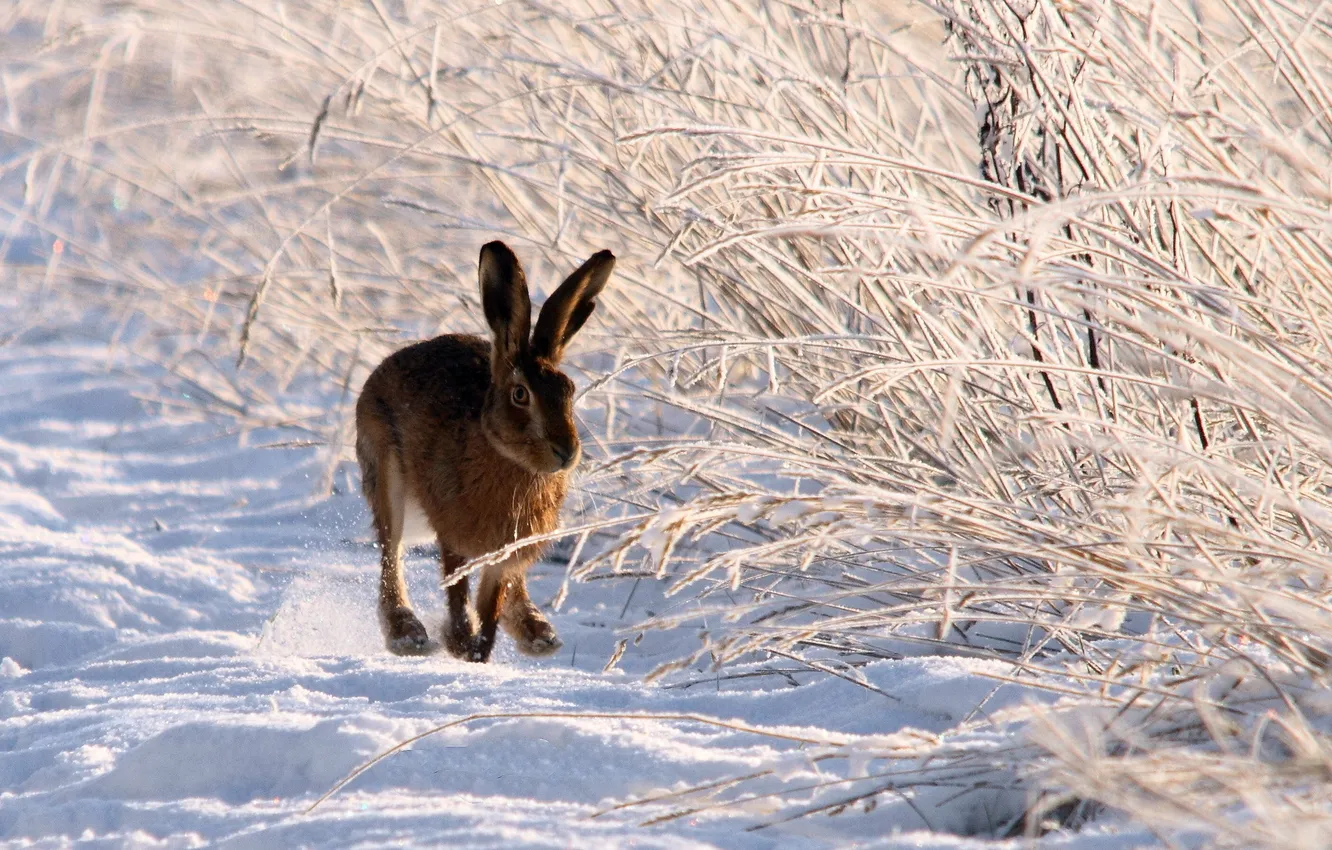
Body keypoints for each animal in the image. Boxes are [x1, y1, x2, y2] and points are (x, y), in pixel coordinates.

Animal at [354, 241, 615, 662]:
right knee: (390, 555)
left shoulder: (504, 553)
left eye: (570, 392)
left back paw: (537, 633)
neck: (509, 459)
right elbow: (457, 589)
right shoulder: (452, 534)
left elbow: (491, 602)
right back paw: (407, 634)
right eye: (520, 395)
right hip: (385, 474)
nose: (566, 452)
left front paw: (478, 651)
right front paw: (461, 642)